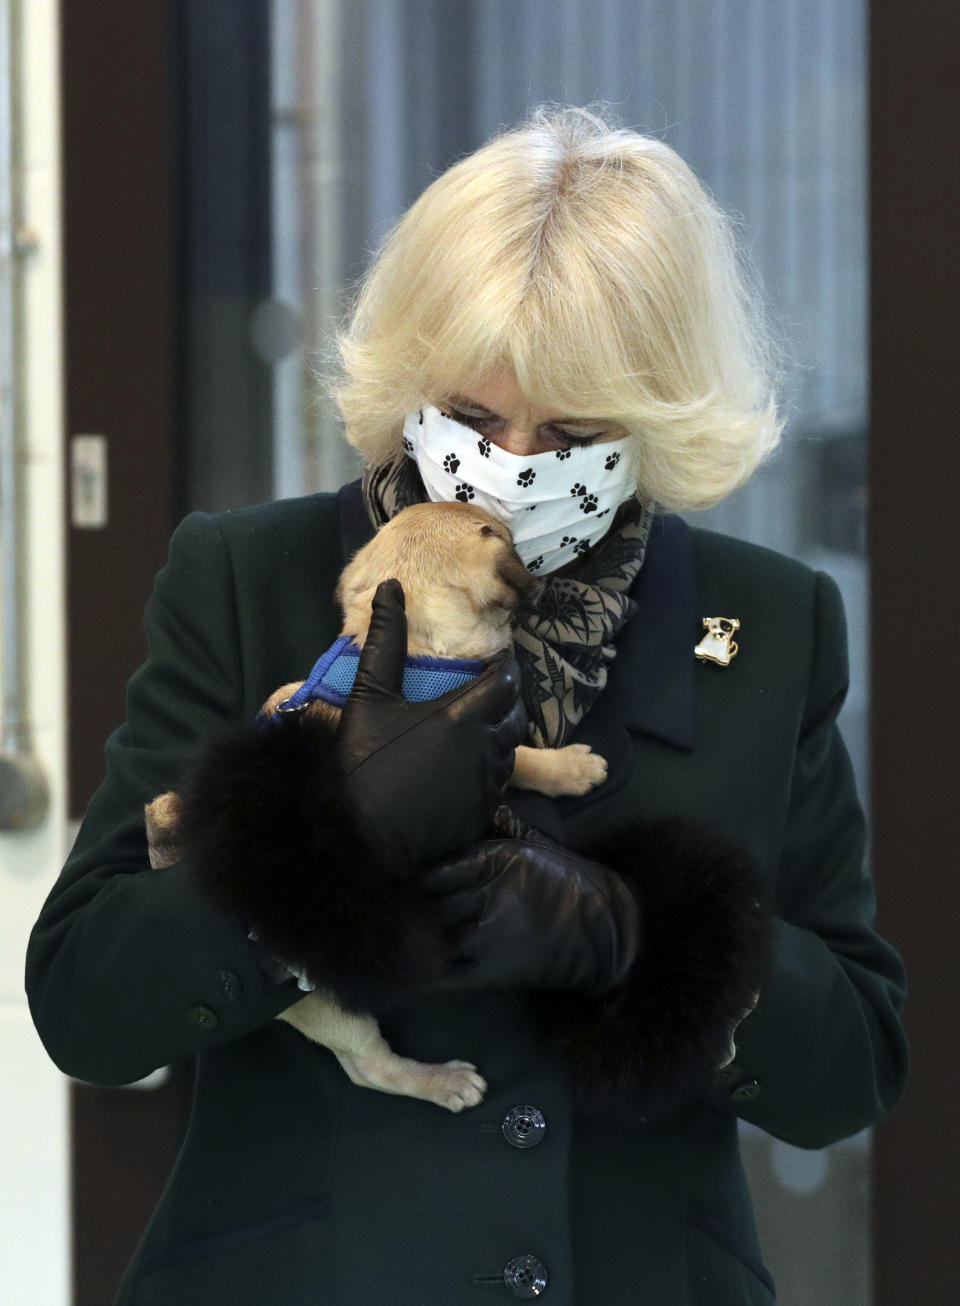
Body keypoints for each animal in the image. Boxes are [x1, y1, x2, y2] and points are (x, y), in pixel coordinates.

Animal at [144, 501, 608, 1112]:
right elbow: (526, 759)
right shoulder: (483, 739)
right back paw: (442, 1082)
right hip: (337, 1011)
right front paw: (570, 769)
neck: (412, 654)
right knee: (370, 1068)